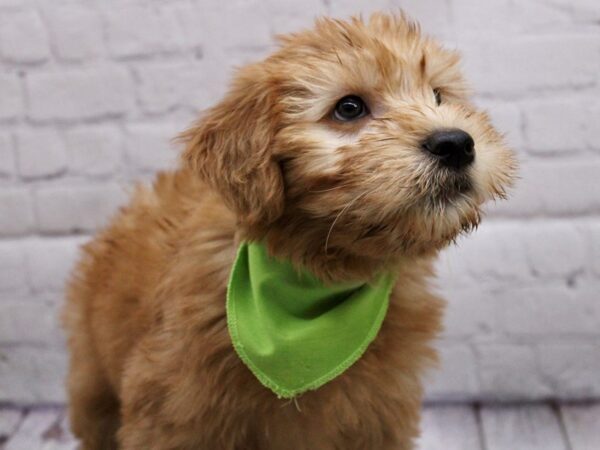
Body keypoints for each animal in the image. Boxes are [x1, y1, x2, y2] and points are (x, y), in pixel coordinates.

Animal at [64, 13, 516, 450]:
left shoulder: (381, 418)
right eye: (349, 108)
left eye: (439, 96)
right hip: (94, 385)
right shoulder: (172, 414)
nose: (456, 143)